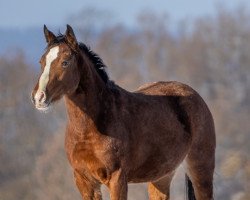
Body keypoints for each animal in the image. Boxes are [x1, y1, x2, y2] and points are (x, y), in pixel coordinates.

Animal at [30, 25, 215, 200]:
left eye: (65, 62)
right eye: (41, 62)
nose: (38, 97)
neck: (89, 128)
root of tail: (194, 95)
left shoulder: (117, 178)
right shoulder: (84, 181)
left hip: (201, 170)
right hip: (161, 175)